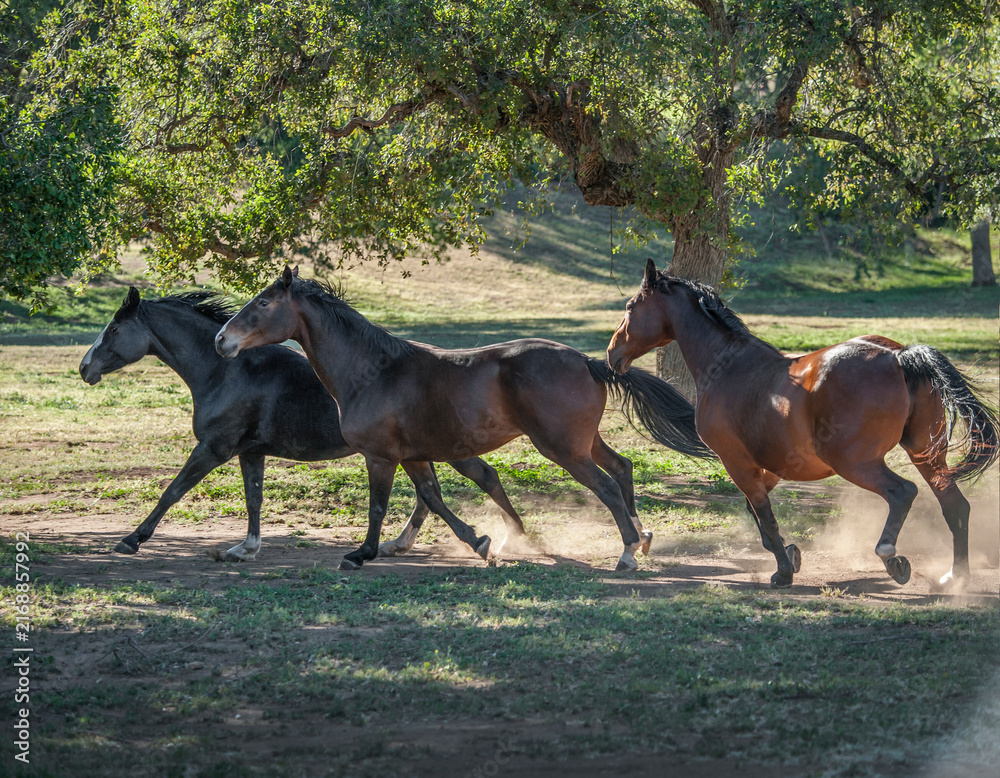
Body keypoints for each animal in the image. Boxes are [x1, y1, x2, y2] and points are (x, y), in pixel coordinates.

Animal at [79, 286, 526, 561]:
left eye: (114, 328)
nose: (85, 368)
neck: (227, 371)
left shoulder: (214, 448)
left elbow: (172, 491)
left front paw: (131, 539)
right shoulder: (249, 453)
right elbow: (254, 499)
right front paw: (245, 548)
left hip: (441, 451)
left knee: (478, 479)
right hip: (417, 452)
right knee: (429, 494)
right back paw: (401, 544)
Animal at [214, 266, 714, 572]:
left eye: (263, 303)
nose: (222, 340)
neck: (373, 371)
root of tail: (591, 362)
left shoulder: (381, 456)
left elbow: (381, 506)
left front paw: (362, 553)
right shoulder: (414, 455)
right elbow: (432, 499)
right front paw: (481, 543)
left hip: (562, 449)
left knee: (607, 486)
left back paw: (628, 553)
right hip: (584, 443)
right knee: (622, 469)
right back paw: (642, 536)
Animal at [607, 259, 999, 589]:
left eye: (630, 307)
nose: (612, 353)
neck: (725, 366)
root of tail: (899, 356)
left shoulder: (737, 463)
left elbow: (765, 517)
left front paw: (782, 572)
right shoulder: (769, 468)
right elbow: (758, 516)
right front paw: (791, 556)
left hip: (855, 462)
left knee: (903, 493)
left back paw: (892, 559)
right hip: (927, 454)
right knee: (955, 506)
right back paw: (956, 578)